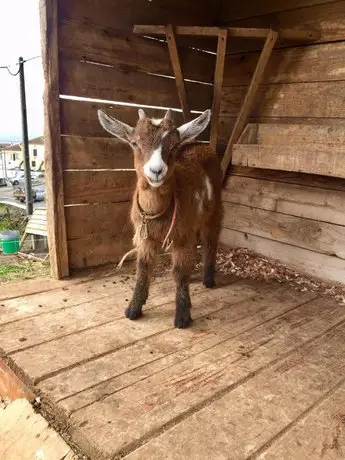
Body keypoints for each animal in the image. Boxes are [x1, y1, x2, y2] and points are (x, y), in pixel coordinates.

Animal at [98, 108, 223, 328]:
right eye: (135, 143)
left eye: (174, 146)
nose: (156, 171)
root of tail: (203, 146)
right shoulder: (145, 236)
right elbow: (143, 268)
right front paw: (134, 308)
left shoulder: (181, 234)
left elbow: (179, 271)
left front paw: (182, 315)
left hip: (214, 211)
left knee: (210, 240)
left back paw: (208, 279)